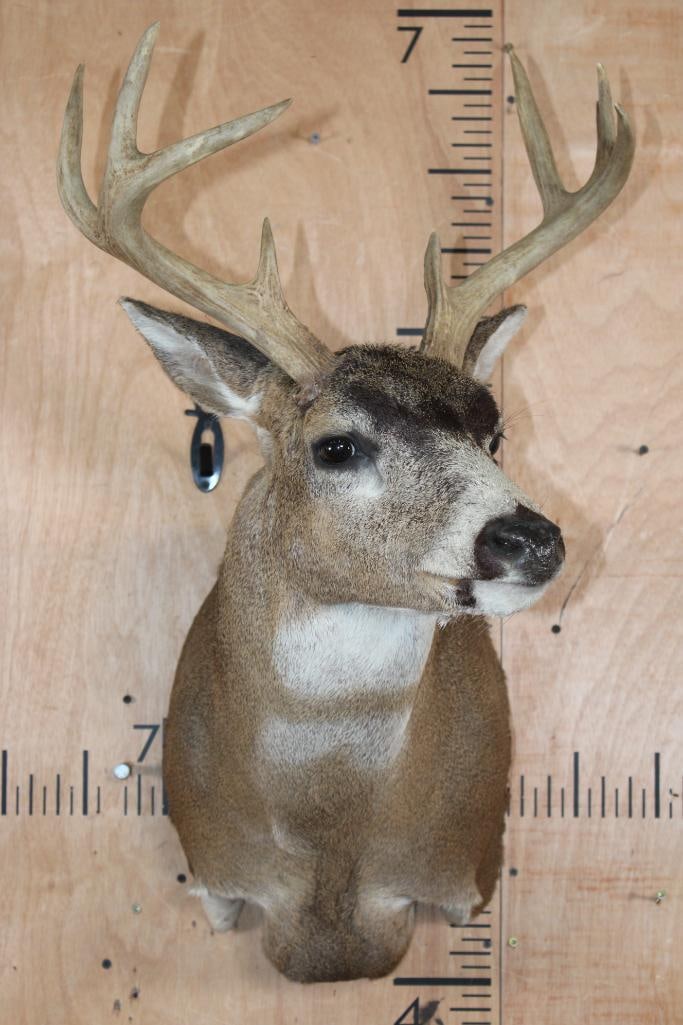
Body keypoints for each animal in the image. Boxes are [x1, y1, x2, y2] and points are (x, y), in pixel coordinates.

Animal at [57, 23, 634, 983]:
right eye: (335, 445)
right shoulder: (213, 872)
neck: (330, 834)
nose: (530, 539)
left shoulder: (462, 867)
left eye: (494, 433)